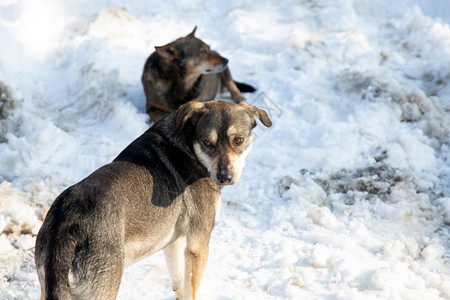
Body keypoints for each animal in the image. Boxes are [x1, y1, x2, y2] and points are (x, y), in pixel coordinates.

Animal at [35, 101, 270, 300]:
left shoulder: (174, 241)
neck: (188, 147)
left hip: (50, 286)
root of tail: (67, 220)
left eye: (238, 140)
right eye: (207, 143)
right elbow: (191, 288)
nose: (224, 177)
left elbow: (179, 283)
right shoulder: (198, 244)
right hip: (102, 287)